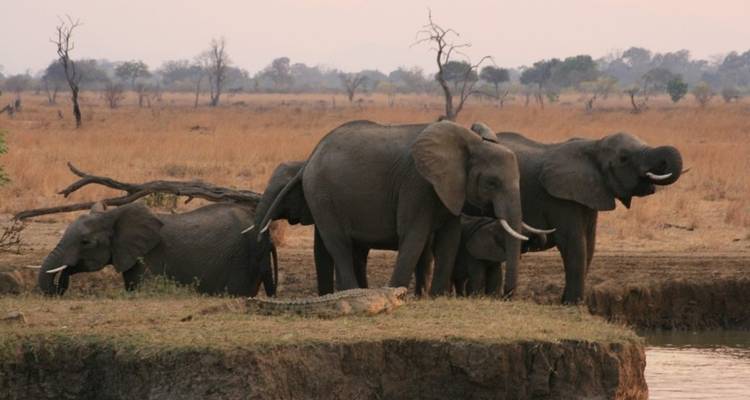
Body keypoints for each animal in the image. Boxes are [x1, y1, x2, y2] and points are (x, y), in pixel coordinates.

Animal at [477, 129, 683, 304]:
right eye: (624, 158)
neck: (594, 145)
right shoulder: (559, 198)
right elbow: (574, 243)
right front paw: (572, 304)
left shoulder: (589, 195)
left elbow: (589, 244)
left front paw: (566, 301)